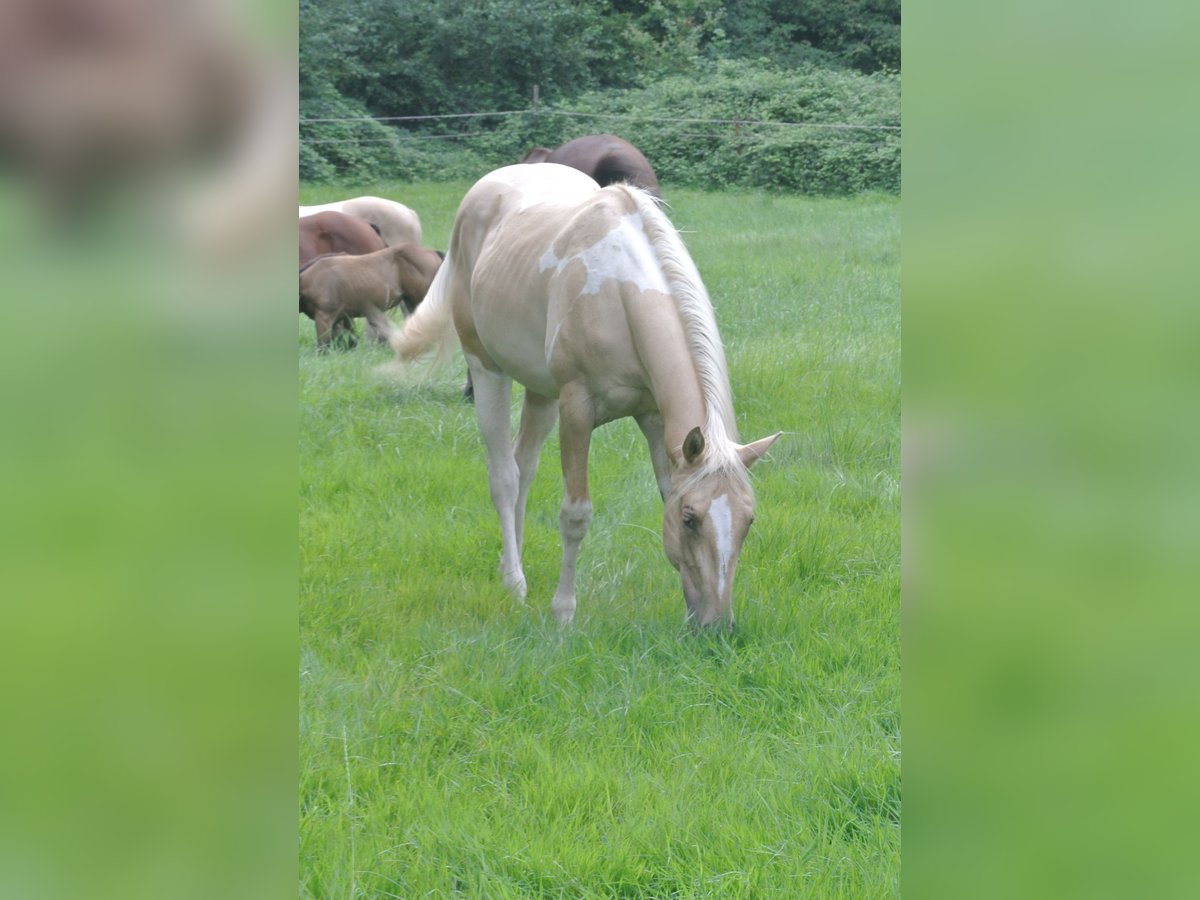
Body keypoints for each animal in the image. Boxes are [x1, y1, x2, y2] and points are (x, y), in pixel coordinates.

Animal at [300, 241, 446, 350]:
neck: (310, 279)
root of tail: (433, 253)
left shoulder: (324, 317)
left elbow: (323, 348)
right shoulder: (340, 319)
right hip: (412, 304)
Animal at [391, 164, 777, 628]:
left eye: (748, 521)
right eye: (690, 520)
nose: (717, 625)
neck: (618, 294)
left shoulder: (654, 420)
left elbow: (663, 491)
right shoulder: (576, 410)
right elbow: (575, 514)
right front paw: (563, 611)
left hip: (540, 393)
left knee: (523, 466)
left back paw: (509, 566)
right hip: (487, 370)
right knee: (504, 476)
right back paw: (515, 583)